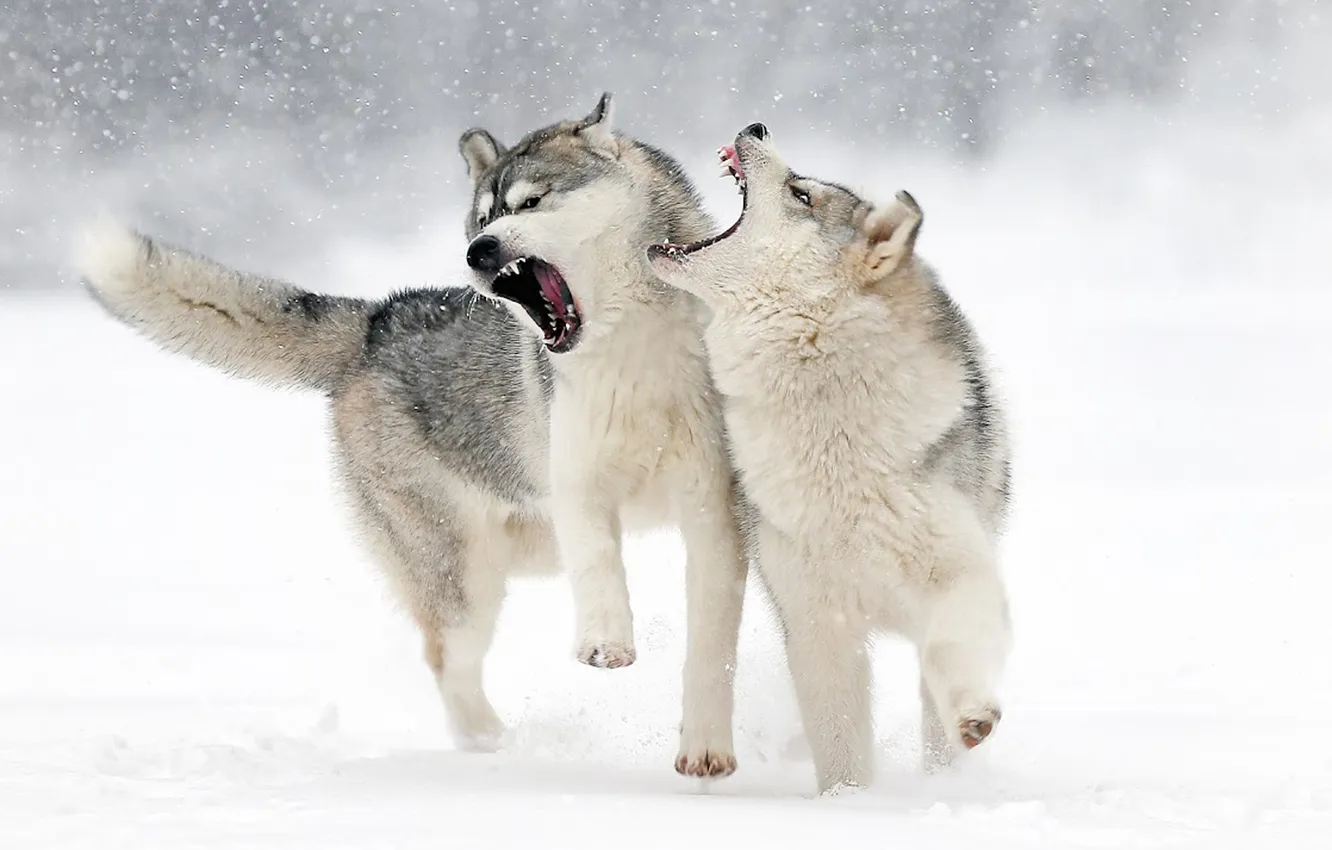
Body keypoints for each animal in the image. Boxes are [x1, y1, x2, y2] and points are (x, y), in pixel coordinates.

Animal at [73, 94, 748, 778]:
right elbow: (599, 565)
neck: (634, 354)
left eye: (531, 202)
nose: (479, 251)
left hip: (519, 549)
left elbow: (711, 645)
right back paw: (493, 747)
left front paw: (705, 747)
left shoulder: (713, 509)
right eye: (483, 217)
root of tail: (375, 320)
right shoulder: (578, 486)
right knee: (450, 661)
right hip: (464, 571)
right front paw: (606, 643)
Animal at [647, 122, 1014, 794]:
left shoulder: (960, 572)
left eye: (801, 193)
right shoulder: (817, 623)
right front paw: (847, 803)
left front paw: (974, 716)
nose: (756, 127)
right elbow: (839, 739)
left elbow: (955, 643)